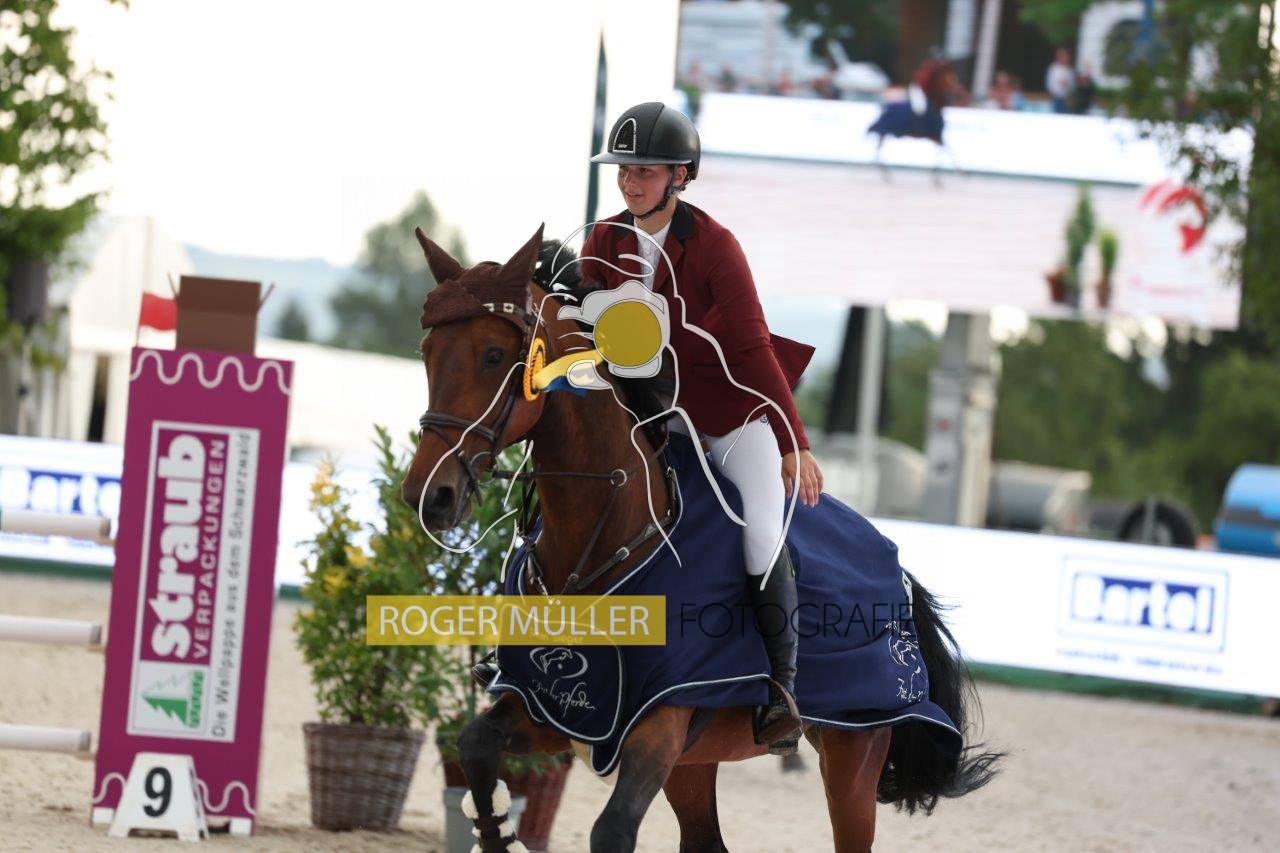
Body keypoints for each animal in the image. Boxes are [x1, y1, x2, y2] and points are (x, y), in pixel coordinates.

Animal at [402, 227, 1000, 852]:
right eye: (427, 353)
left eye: (494, 356)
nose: (429, 496)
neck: (607, 534)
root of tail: (897, 566)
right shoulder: (553, 709)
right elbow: (474, 745)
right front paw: (496, 832)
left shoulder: (660, 720)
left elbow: (612, 829)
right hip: (696, 765)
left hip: (853, 755)